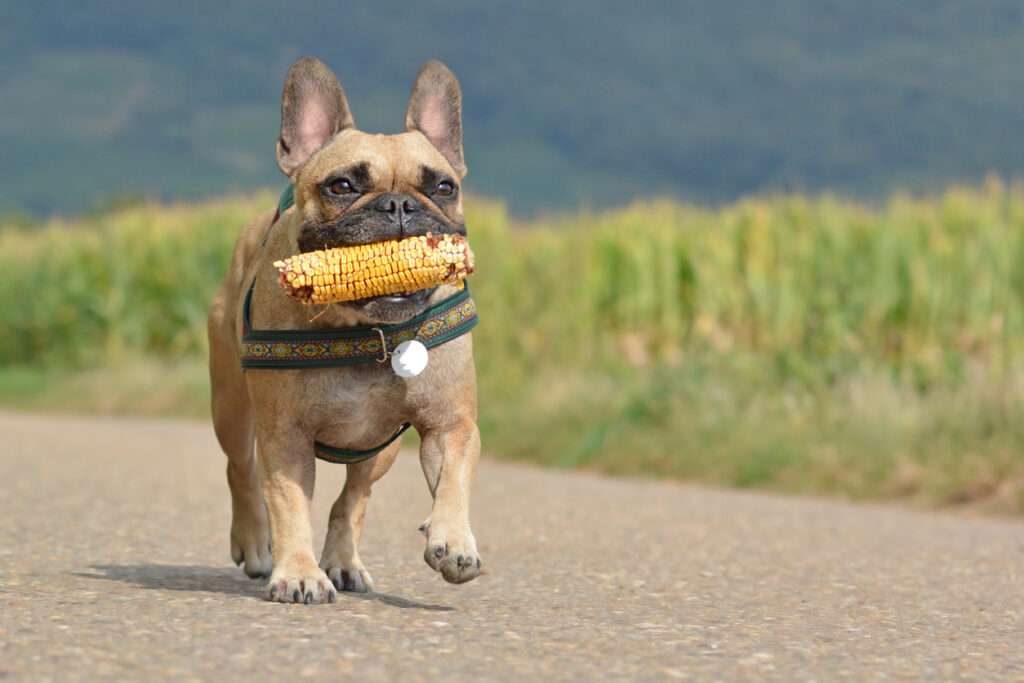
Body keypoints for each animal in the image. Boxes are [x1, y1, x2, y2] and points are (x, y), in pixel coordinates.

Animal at [207, 57, 483, 602]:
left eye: (444, 187)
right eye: (342, 186)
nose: (399, 205)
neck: (366, 329)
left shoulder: (452, 424)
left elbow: (454, 480)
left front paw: (455, 541)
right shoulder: (284, 435)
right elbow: (289, 504)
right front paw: (297, 572)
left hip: (380, 446)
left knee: (353, 498)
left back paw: (343, 561)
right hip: (231, 407)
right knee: (241, 471)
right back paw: (255, 545)